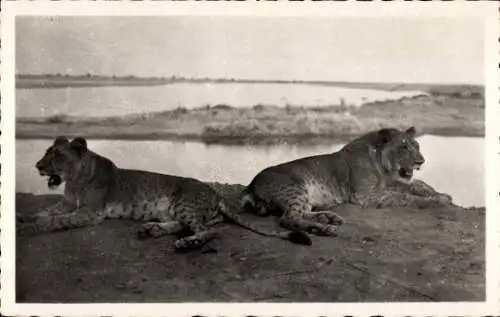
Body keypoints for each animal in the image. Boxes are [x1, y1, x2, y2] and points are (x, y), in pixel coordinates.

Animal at [16, 136, 312, 249]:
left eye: (58, 155)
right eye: (46, 152)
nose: (37, 165)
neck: (74, 180)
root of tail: (214, 193)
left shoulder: (90, 213)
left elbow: (55, 221)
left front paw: (26, 228)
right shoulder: (66, 203)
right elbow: (45, 211)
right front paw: (23, 218)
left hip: (183, 203)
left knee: (208, 230)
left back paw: (187, 243)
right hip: (172, 209)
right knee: (185, 224)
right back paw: (152, 229)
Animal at [241, 127, 454, 236]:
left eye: (416, 145)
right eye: (403, 147)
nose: (421, 162)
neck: (382, 166)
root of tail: (251, 183)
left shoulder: (388, 184)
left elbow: (417, 185)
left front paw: (441, 194)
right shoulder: (365, 196)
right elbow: (404, 197)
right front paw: (436, 200)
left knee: (302, 212)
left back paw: (328, 217)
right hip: (295, 189)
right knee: (289, 218)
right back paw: (326, 228)